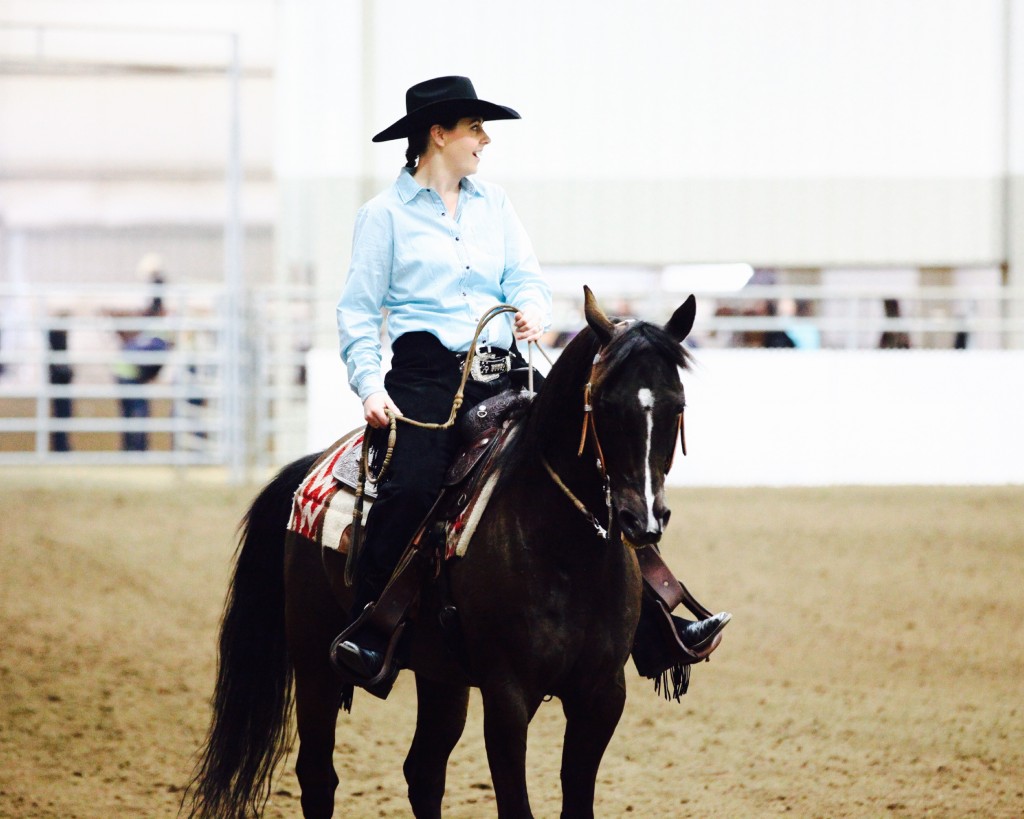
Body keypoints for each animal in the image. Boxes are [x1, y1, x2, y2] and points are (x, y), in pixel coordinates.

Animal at [184, 288, 700, 818]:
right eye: (603, 404)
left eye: (677, 403)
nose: (643, 520)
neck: (567, 556)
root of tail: (311, 467)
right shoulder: (507, 695)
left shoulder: (602, 695)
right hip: (312, 660)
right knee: (318, 776)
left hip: (441, 674)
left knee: (424, 773)